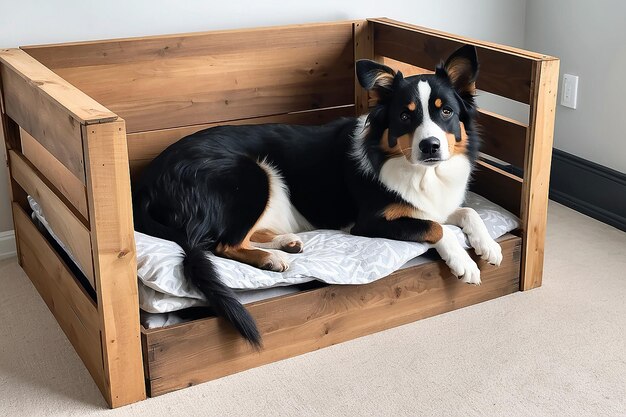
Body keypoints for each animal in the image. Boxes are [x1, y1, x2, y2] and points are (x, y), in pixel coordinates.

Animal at [133, 44, 502, 346]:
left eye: (446, 112)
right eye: (404, 116)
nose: (430, 146)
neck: (419, 170)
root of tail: (147, 180)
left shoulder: (434, 204)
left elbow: (466, 212)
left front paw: (488, 246)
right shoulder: (370, 222)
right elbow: (437, 228)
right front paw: (464, 263)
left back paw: (285, 244)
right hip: (251, 176)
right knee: (220, 243)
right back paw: (271, 258)